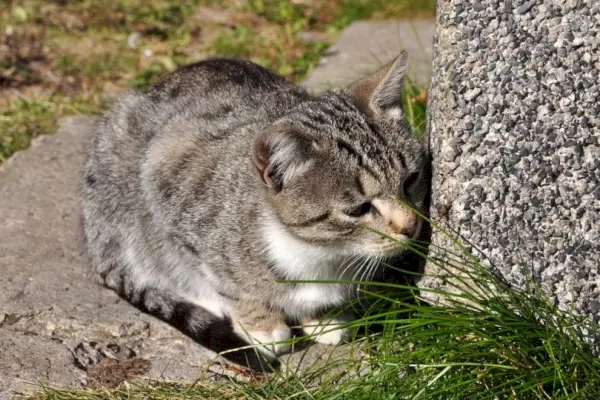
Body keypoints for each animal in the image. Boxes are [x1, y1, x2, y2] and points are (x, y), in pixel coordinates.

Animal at [82, 51, 428, 364]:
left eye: (411, 180)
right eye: (358, 209)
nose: (410, 225)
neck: (322, 252)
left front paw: (323, 316)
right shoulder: (171, 188)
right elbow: (222, 280)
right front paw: (263, 325)